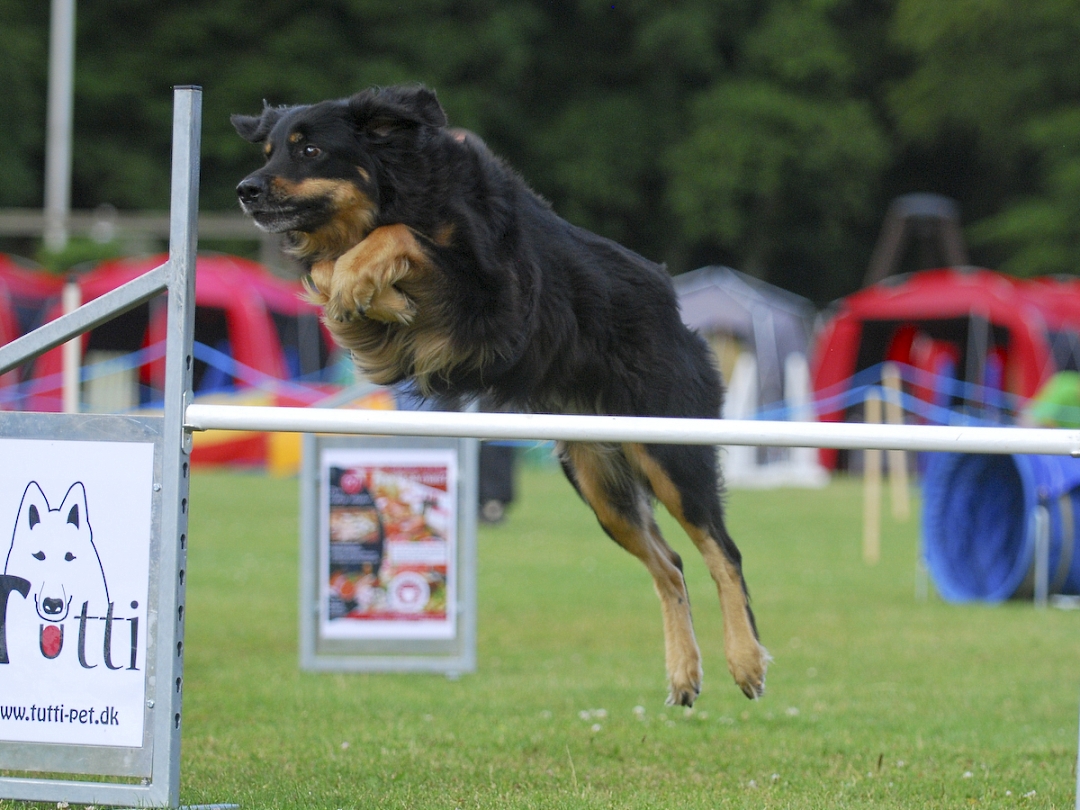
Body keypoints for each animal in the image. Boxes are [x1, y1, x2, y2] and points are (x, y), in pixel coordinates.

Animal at [232, 84, 769, 704]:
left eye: (310, 149)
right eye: (269, 150)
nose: (245, 189)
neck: (404, 187)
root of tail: (678, 314)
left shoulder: (493, 298)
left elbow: (399, 239)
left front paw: (365, 281)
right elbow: (327, 268)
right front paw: (371, 292)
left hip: (670, 452)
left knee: (722, 552)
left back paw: (745, 661)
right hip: (598, 482)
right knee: (671, 563)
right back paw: (684, 671)